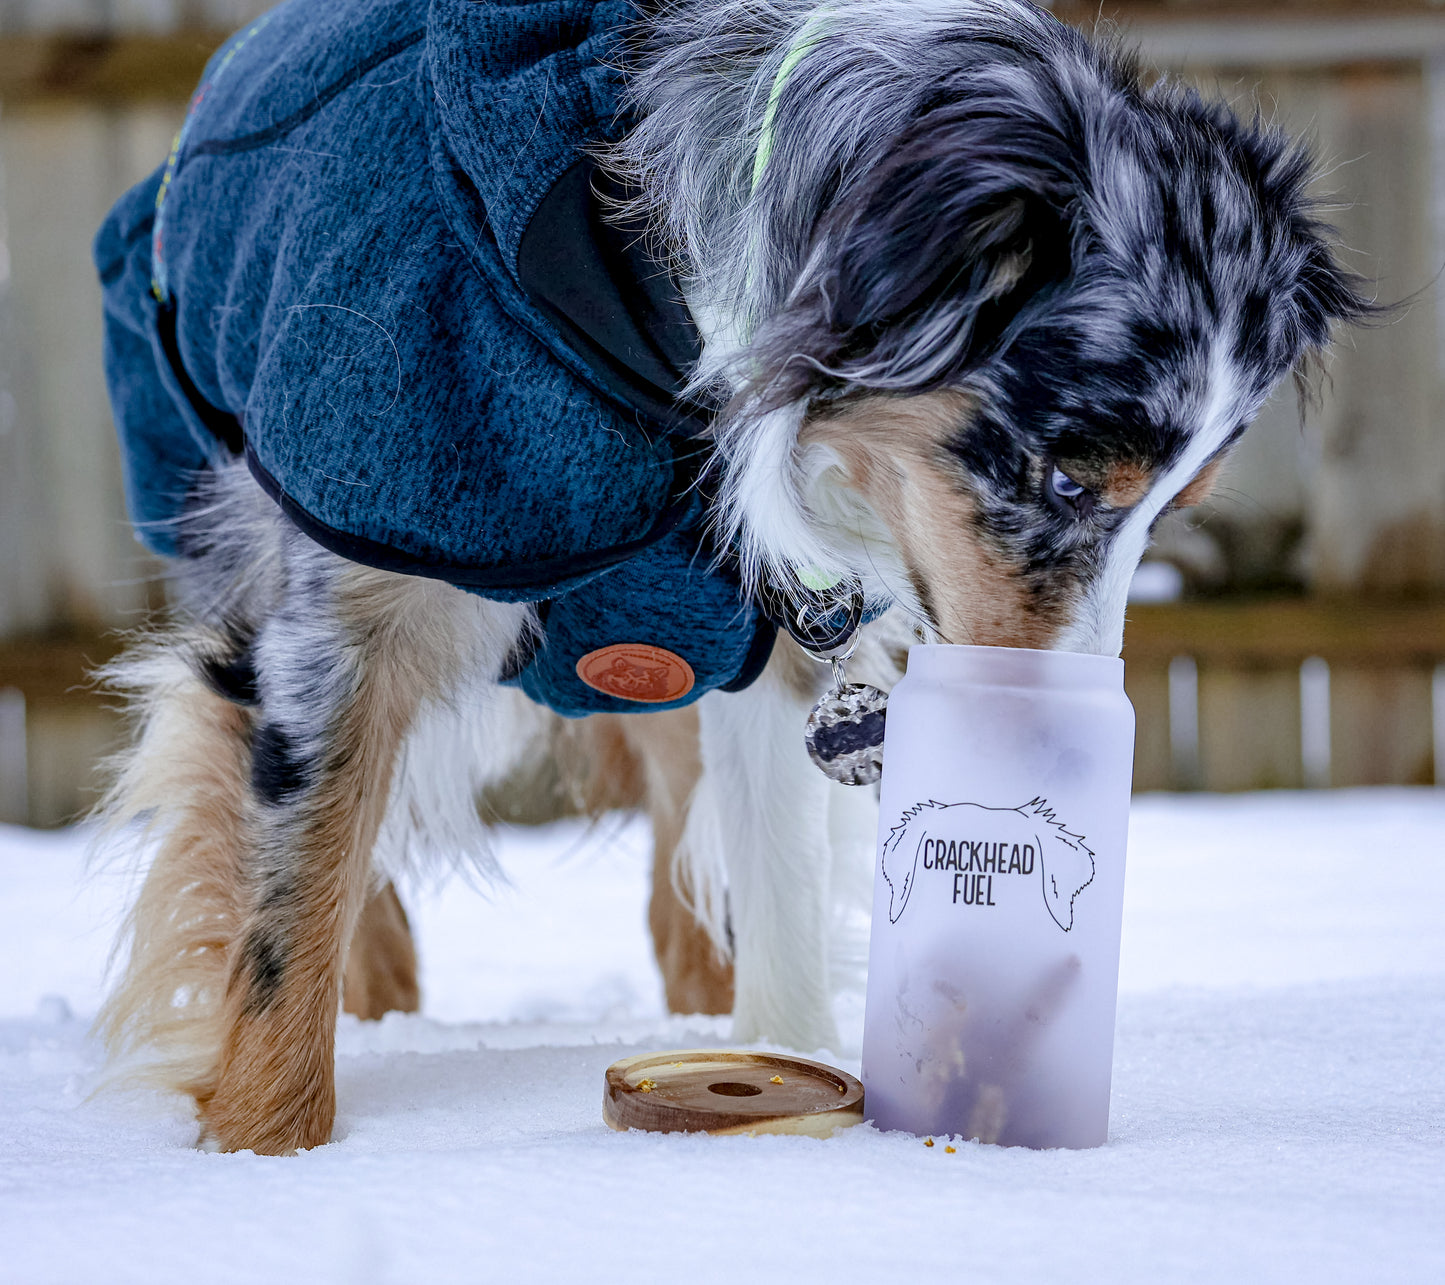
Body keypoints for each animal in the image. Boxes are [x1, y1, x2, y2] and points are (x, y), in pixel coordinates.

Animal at [90, 0, 1364, 1150]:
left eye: (1171, 506)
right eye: (1066, 477)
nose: (1052, 748)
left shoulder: (768, 646)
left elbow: (781, 906)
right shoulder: (349, 604)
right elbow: (283, 932)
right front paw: (267, 1157)